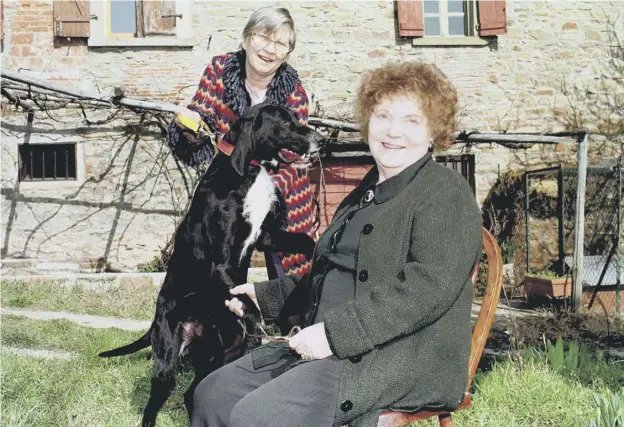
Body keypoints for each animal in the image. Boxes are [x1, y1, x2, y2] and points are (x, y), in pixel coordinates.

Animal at [98, 104, 322, 427]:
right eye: (283, 121)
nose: (321, 140)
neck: (248, 171)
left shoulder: (264, 235)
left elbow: (302, 238)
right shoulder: (222, 263)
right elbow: (249, 305)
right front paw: (259, 327)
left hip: (218, 353)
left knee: (192, 393)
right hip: (167, 357)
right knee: (155, 400)